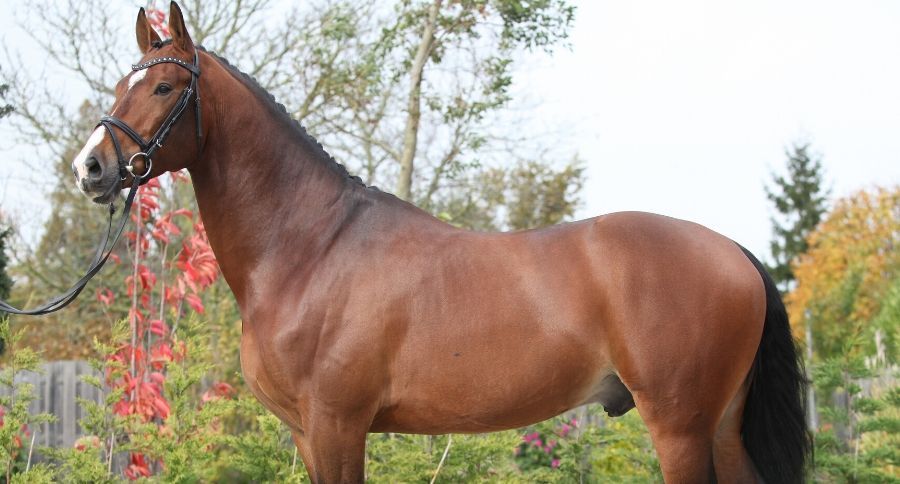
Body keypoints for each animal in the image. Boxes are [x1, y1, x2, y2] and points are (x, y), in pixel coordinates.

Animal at [69, 2, 809, 482]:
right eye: (122, 83)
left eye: (166, 86)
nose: (92, 168)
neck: (310, 249)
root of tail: (734, 251)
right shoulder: (309, 433)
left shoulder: (337, 425)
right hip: (721, 426)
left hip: (680, 427)